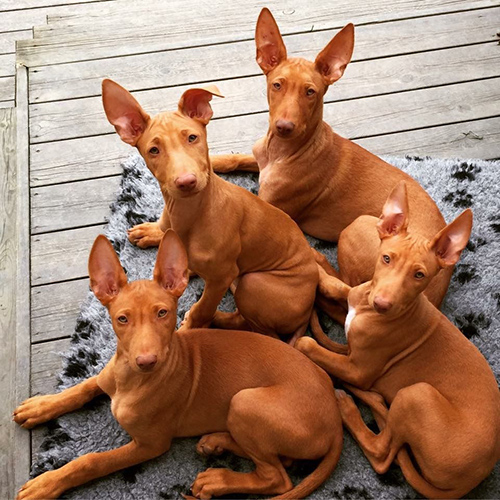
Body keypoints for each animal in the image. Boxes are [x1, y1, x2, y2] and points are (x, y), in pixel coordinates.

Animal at [14, 230, 344, 500]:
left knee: (278, 478)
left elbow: (92, 461)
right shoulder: (107, 376)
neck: (130, 380)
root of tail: (335, 419)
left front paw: (47, 483)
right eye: (122, 319)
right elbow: (82, 387)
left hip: (244, 402)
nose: (147, 361)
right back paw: (216, 442)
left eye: (163, 313)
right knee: (282, 461)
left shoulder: (151, 444)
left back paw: (217, 480)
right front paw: (41, 406)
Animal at [101, 79, 318, 344]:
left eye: (192, 138)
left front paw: (190, 328)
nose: (186, 181)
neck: (189, 213)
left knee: (255, 327)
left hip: (252, 283)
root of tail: (308, 310)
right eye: (154, 150)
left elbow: (203, 307)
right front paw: (152, 232)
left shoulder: (222, 276)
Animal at [211, 6, 450, 304]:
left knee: (345, 287)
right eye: (277, 85)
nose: (284, 127)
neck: (284, 151)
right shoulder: (259, 159)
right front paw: (207, 160)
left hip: (358, 228)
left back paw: (319, 268)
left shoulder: (270, 209)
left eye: (310, 92)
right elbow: (235, 158)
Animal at [294, 183, 498, 496]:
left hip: (417, 395)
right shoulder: (359, 294)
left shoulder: (358, 369)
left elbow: (307, 344)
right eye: (386, 258)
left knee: (382, 453)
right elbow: (339, 286)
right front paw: (313, 262)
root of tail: (475, 477)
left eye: (419, 275)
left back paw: (349, 405)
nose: (382, 304)